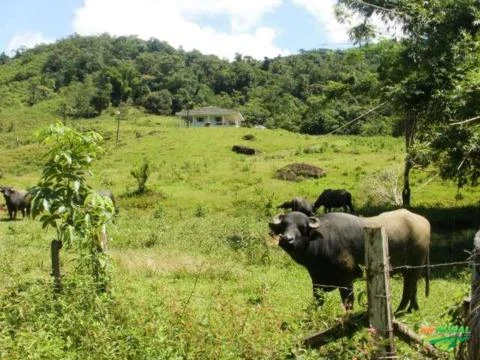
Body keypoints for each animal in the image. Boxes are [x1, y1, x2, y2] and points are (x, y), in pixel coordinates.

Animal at [270, 210, 432, 314]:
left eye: (302, 227)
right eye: (284, 225)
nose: (286, 239)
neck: (324, 242)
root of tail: (424, 222)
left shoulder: (346, 282)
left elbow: (348, 304)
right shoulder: (317, 282)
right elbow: (317, 302)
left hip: (415, 267)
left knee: (410, 288)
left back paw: (402, 310)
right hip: (408, 270)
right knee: (411, 288)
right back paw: (411, 309)